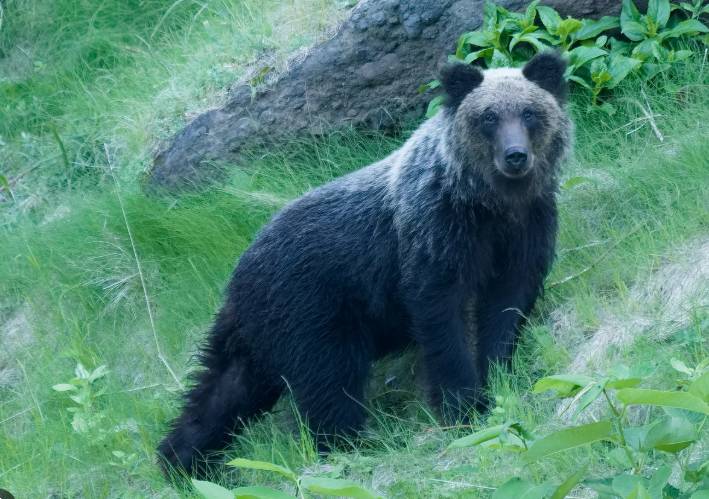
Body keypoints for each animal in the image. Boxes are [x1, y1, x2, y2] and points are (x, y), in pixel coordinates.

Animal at [158, 52, 572, 476]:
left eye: (530, 112)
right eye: (488, 117)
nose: (515, 156)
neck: (488, 204)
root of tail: (238, 272)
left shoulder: (525, 230)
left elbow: (506, 307)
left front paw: (498, 378)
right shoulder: (435, 236)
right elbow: (443, 319)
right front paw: (462, 405)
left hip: (260, 333)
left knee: (223, 388)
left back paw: (183, 461)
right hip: (313, 312)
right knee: (329, 382)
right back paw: (347, 445)